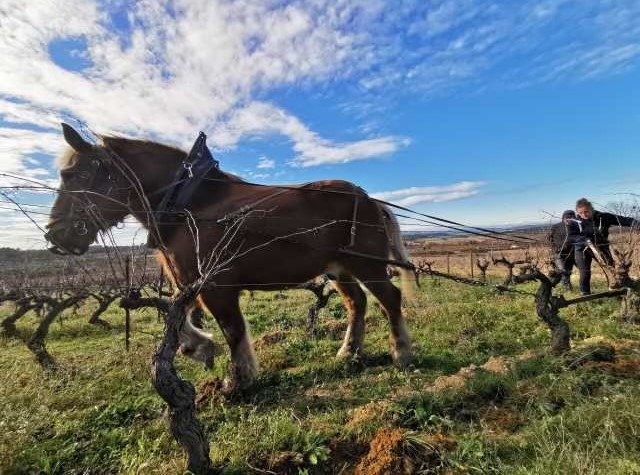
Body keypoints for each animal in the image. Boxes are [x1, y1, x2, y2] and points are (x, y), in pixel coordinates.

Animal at [45, 123, 415, 389]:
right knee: (357, 303)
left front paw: (238, 380)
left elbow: (232, 329)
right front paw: (198, 348)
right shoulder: (189, 283)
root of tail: (369, 199)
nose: (54, 235)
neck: (190, 205)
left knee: (389, 299)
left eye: (76, 175)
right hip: (339, 268)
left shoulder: (216, 286)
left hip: (368, 264)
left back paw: (401, 352)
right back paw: (348, 352)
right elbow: (177, 318)